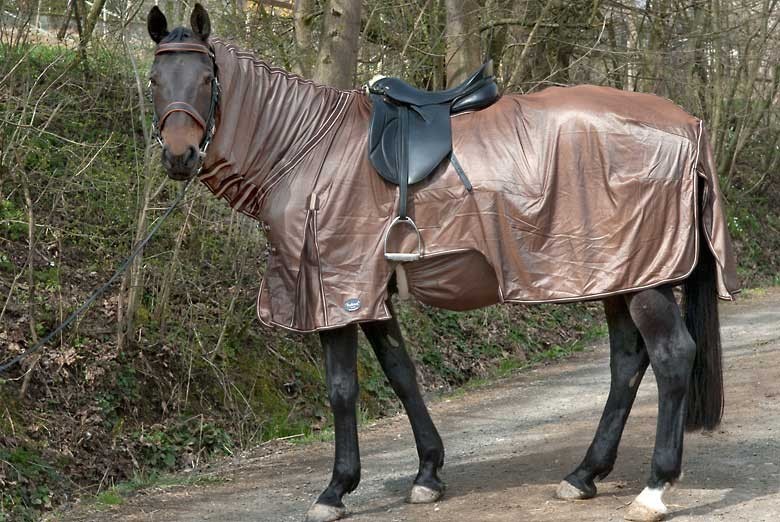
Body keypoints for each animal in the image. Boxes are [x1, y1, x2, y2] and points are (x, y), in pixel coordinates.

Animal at [145, 4, 736, 520]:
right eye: (155, 80)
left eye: (205, 78)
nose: (178, 156)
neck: (305, 147)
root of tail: (687, 123)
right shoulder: (370, 291)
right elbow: (402, 375)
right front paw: (428, 474)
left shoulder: (337, 289)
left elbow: (342, 389)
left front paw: (336, 489)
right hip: (616, 274)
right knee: (627, 363)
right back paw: (584, 475)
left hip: (644, 280)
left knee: (671, 357)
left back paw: (653, 490)